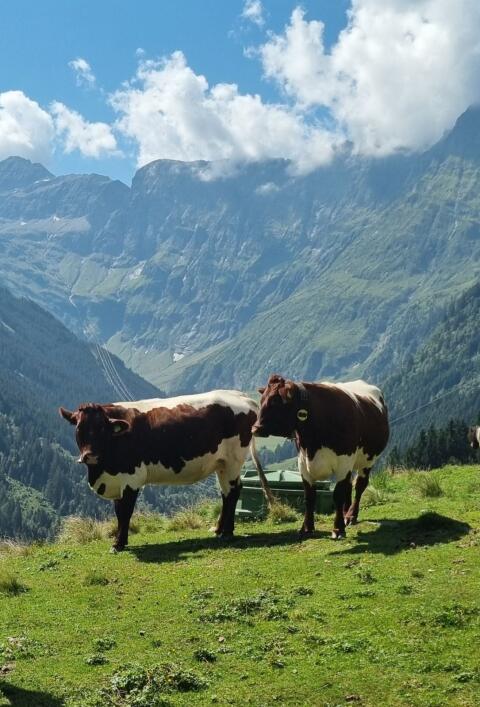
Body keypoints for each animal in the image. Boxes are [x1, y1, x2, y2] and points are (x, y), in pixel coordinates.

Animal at [60, 390, 273, 552]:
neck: (102, 470)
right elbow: (118, 511)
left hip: (233, 461)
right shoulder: (117, 479)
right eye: (79, 428)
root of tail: (241, 396)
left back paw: (227, 532)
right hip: (221, 464)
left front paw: (118, 544)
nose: (89, 456)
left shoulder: (131, 478)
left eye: (102, 429)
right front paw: (121, 541)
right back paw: (219, 530)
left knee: (234, 491)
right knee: (226, 494)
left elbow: (125, 511)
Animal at [252, 375, 389, 540]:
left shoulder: (343, 462)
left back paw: (350, 516)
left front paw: (338, 529)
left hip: (367, 460)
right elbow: (309, 497)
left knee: (359, 486)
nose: (255, 428)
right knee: (349, 486)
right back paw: (345, 513)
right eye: (262, 400)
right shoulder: (303, 463)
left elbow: (337, 495)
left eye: (275, 401)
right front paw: (306, 528)